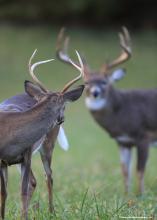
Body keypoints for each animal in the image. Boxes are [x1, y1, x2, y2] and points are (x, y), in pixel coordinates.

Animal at [0, 49, 84, 219]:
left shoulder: (26, 155)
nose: (61, 120)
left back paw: (51, 212)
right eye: (64, 106)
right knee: (35, 181)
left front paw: (23, 217)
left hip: (47, 146)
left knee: (48, 176)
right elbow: (3, 193)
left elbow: (22, 191)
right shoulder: (2, 161)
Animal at [56, 27, 157, 194]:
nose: (95, 93)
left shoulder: (144, 136)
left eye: (104, 82)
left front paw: (141, 194)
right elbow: (125, 170)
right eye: (87, 82)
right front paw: (127, 194)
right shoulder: (123, 141)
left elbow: (139, 170)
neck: (123, 113)